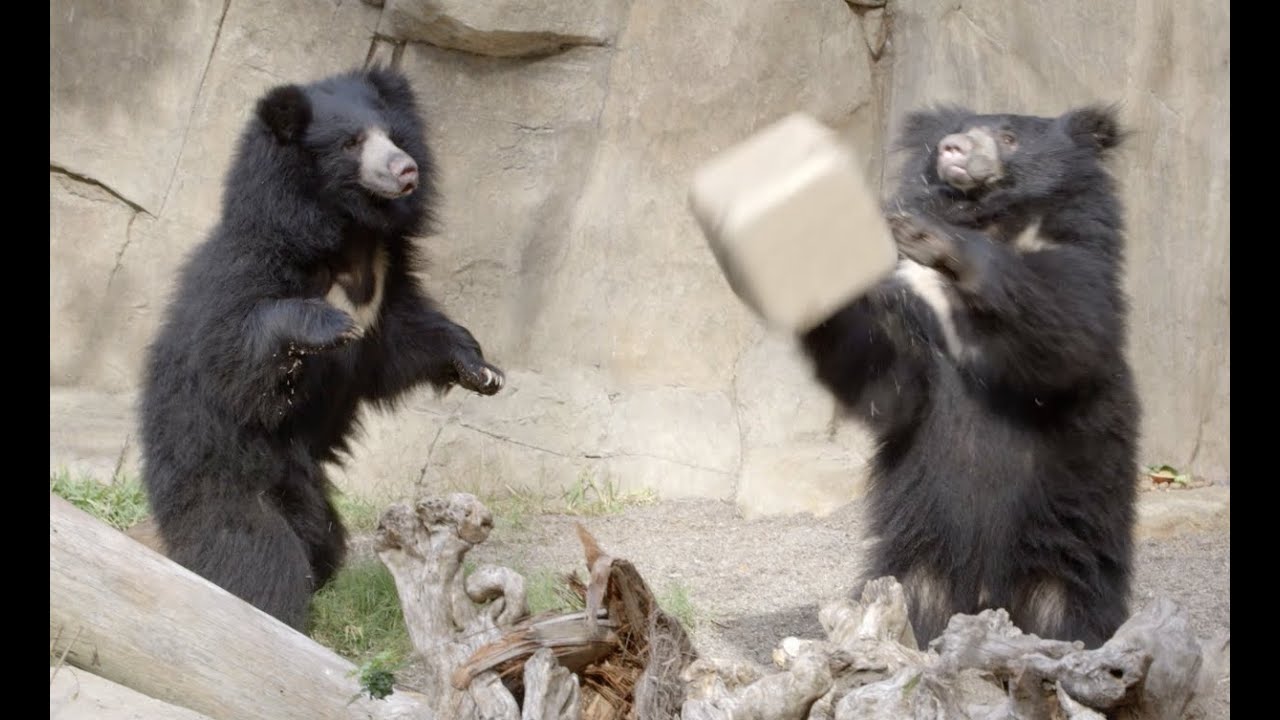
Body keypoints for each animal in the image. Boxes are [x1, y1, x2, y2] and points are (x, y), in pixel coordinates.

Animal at [138, 67, 505, 630]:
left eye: (393, 136)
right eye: (352, 142)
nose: (406, 169)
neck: (350, 234)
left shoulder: (385, 288)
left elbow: (399, 347)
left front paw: (480, 369)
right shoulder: (253, 262)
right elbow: (234, 359)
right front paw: (330, 326)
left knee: (320, 536)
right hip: (216, 465)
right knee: (255, 548)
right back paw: (275, 607)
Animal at [799, 104, 1140, 649]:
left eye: (1009, 137)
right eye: (952, 133)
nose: (952, 148)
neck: (996, 221)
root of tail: (984, 599)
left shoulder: (1082, 267)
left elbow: (1066, 327)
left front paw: (932, 236)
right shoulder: (910, 326)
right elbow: (889, 386)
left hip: (1067, 560)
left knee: (1071, 618)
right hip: (919, 564)